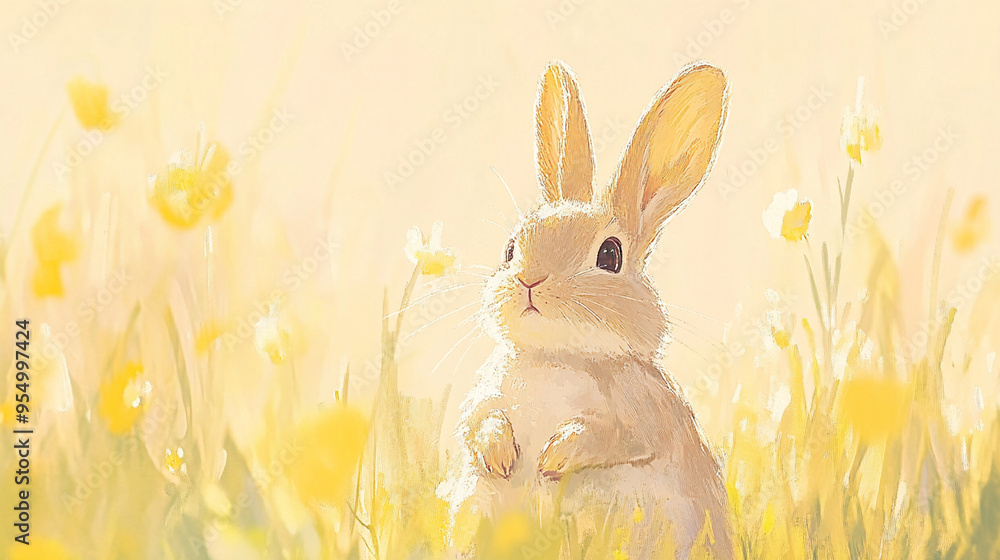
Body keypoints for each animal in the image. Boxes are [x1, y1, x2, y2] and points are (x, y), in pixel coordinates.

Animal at [437, 60, 733, 560]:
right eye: (510, 249)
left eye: (610, 255)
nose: (530, 281)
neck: (559, 356)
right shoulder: (488, 391)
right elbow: (478, 419)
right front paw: (502, 456)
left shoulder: (647, 411)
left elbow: (618, 435)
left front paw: (553, 457)